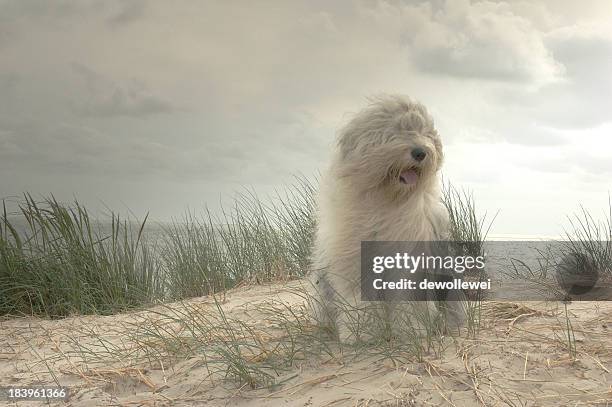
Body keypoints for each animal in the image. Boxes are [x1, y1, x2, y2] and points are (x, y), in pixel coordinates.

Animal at [314, 94, 452, 342]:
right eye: (397, 130)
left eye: (424, 132)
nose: (421, 152)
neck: (387, 199)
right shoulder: (353, 258)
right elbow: (356, 296)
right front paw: (360, 332)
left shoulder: (410, 256)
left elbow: (407, 296)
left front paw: (411, 329)